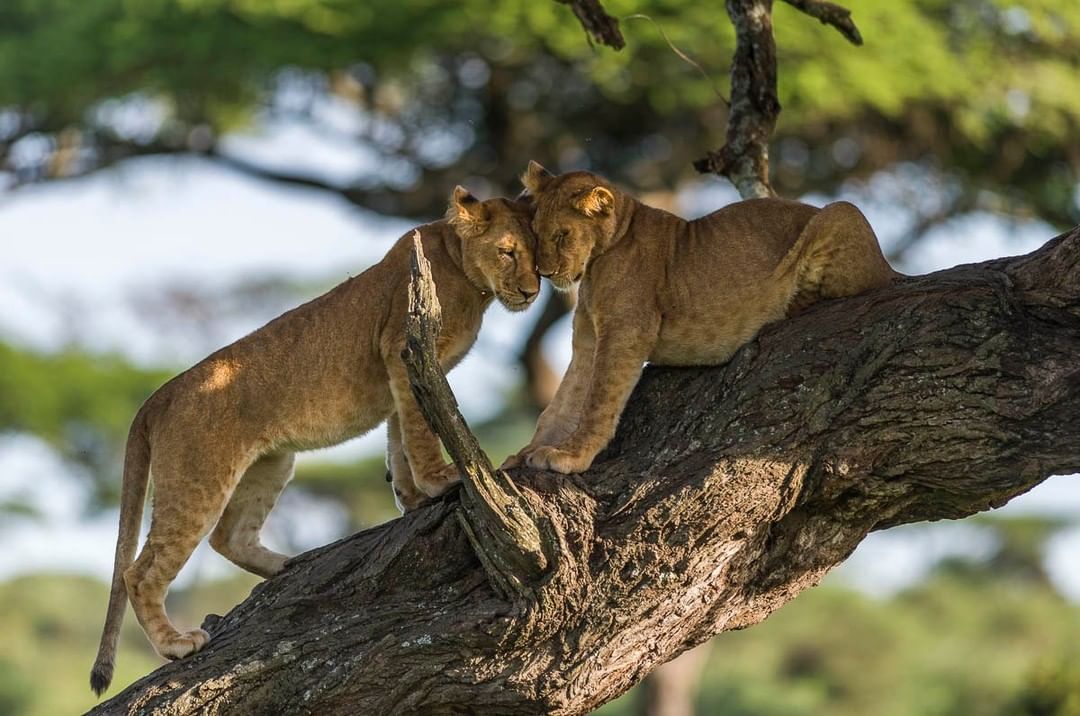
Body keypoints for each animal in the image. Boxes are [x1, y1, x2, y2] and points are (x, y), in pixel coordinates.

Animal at [89, 188, 540, 695]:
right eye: (507, 252)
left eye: (538, 253)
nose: (533, 291)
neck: (462, 266)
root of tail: (158, 395)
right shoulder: (404, 350)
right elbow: (420, 432)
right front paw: (441, 481)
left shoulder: (400, 373)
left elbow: (400, 438)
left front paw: (412, 498)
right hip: (198, 482)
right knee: (140, 572)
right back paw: (175, 643)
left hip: (269, 465)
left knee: (227, 537)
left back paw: (289, 566)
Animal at [504, 161, 899, 475]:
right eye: (536, 234)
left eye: (562, 235)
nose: (545, 272)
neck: (600, 257)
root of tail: (889, 266)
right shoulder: (587, 339)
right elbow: (562, 403)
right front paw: (527, 453)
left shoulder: (625, 333)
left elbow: (598, 401)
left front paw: (572, 457)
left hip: (841, 211)